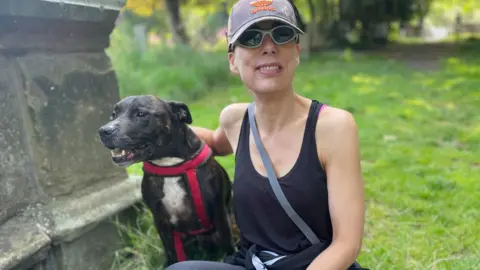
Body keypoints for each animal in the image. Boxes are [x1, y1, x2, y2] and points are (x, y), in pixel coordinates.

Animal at [96, 94, 235, 266]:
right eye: (113, 115)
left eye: (141, 114)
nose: (104, 131)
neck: (169, 165)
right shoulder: (161, 221)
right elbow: (172, 251)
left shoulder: (219, 213)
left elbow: (228, 245)